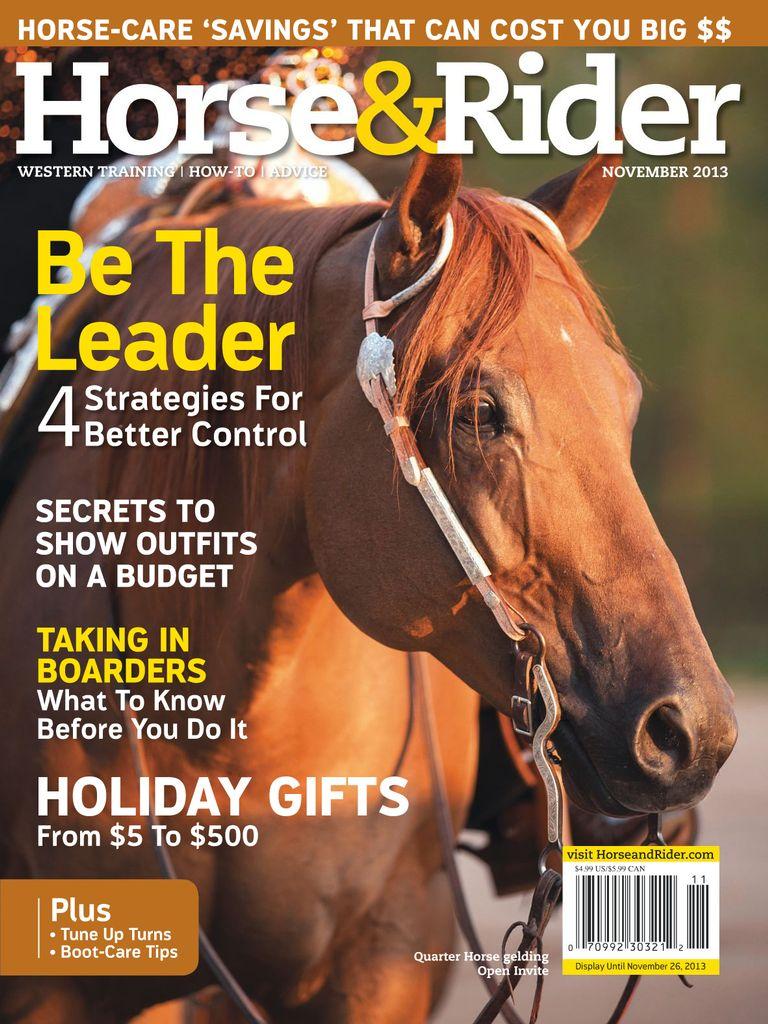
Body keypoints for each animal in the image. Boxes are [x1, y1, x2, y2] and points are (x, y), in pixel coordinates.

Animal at [0, 144, 737, 1023]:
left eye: (623, 403)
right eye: (480, 412)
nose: (692, 731)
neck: (224, 727)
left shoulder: (385, 963)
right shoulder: (60, 986)